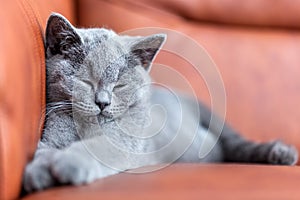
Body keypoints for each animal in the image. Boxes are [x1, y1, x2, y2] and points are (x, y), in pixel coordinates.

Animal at [22, 13, 298, 192]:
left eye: (120, 84)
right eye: (85, 81)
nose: (102, 102)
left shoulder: (126, 142)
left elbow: (96, 148)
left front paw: (67, 164)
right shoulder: (52, 137)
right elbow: (44, 150)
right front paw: (37, 173)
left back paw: (281, 154)